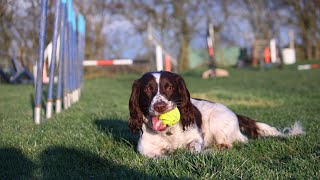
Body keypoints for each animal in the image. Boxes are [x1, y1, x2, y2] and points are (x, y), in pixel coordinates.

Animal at [128, 70, 304, 158]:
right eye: (147, 89)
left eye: (169, 87)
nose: (160, 106)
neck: (168, 132)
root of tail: (235, 113)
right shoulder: (144, 148)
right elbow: (158, 156)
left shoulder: (196, 138)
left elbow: (193, 149)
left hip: (217, 121)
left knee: (235, 142)